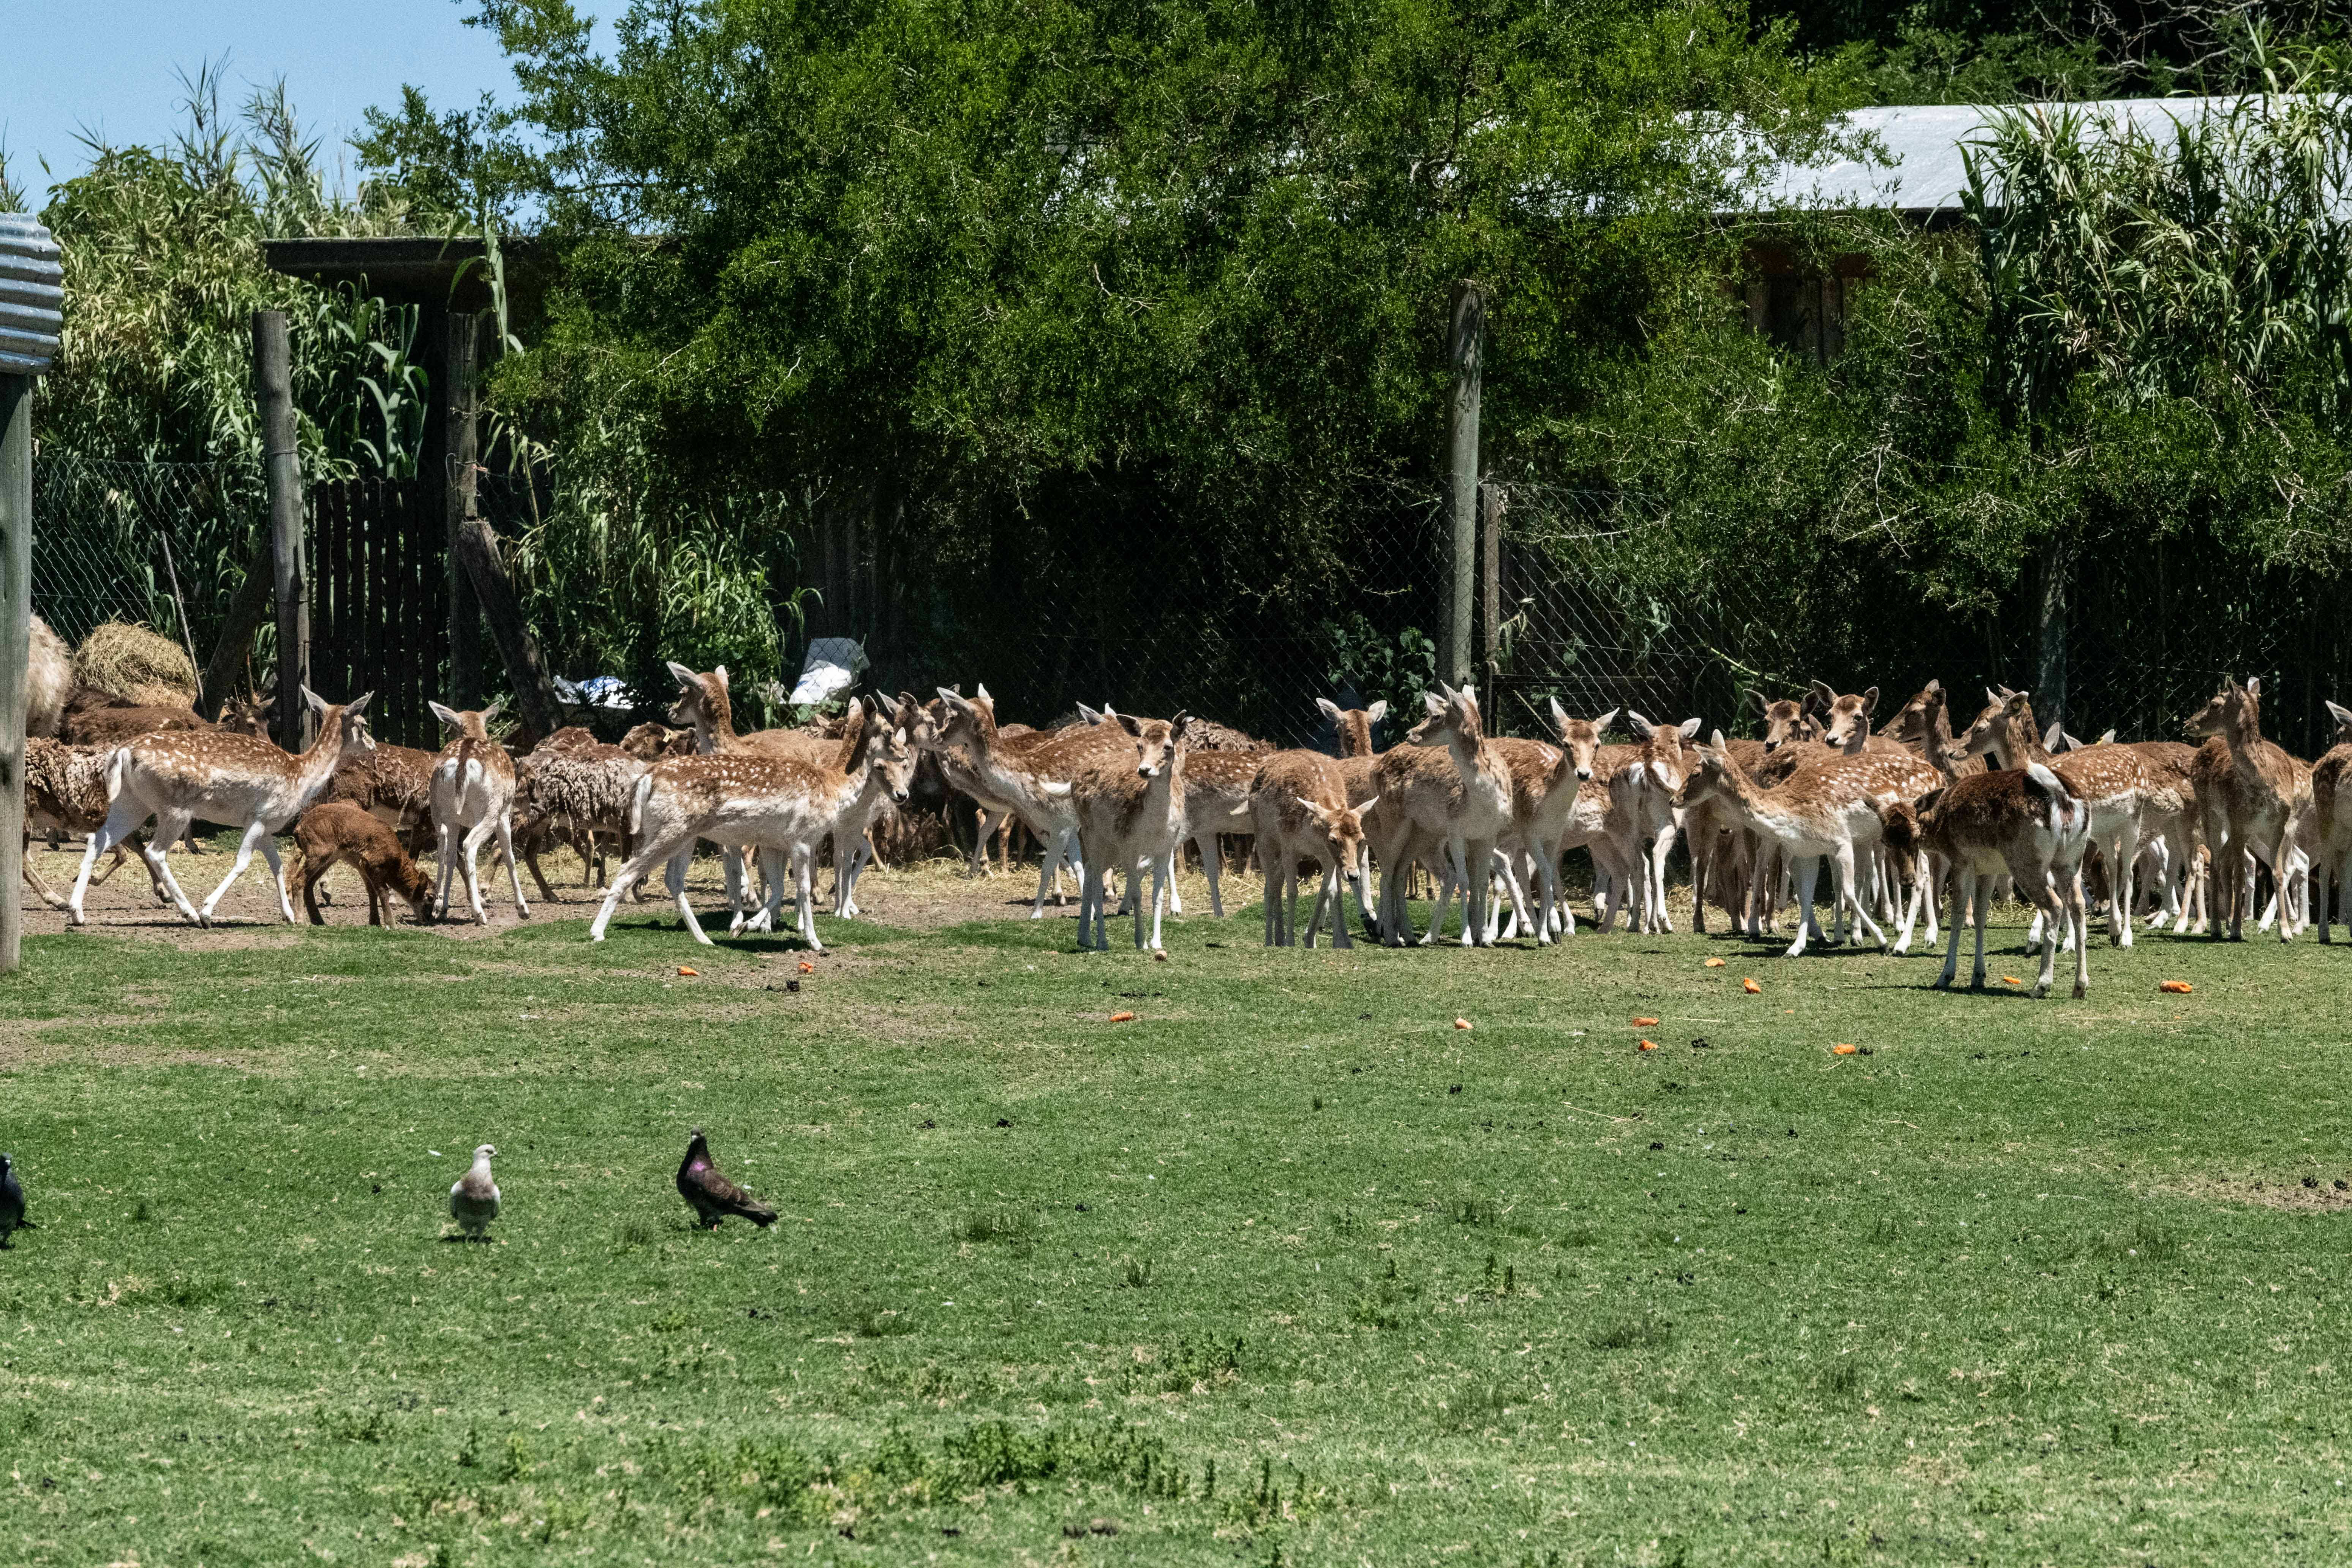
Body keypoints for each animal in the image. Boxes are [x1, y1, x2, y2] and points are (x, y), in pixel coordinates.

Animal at [67, 687, 375, 928]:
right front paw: (207, 911)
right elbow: (242, 863)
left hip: (132, 802)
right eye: (362, 724)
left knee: (99, 839)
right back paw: (190, 914)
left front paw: (289, 916)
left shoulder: (266, 824)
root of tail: (122, 753)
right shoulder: (259, 817)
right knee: (155, 852)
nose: (372, 745)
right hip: (174, 808)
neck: (301, 777)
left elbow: (276, 865)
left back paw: (76, 912)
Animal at [283, 801, 437, 925]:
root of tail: (299, 828)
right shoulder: (372, 865)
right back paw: (301, 921)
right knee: (298, 880)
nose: (428, 919)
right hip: (318, 854)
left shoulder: (362, 867)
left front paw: (375, 922)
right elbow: (383, 892)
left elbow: (372, 892)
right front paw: (390, 925)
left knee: (309, 884)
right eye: (430, 898)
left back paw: (318, 921)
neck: (395, 864)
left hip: (329, 859)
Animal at [428, 700, 531, 926]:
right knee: (469, 845)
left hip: (439, 811)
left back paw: (437, 907)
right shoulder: (505, 813)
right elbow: (510, 857)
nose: (445, 733)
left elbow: (451, 858)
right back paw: (479, 913)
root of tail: (463, 761)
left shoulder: (457, 821)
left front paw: (444, 906)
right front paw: (523, 909)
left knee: (443, 849)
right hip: (490, 810)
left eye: (450, 727)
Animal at [1249, 750, 1375, 948]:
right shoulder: (1289, 847)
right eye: (1333, 840)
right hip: (1263, 837)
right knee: (1270, 885)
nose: (1353, 874)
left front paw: (1322, 941)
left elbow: (1330, 892)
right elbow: (1292, 892)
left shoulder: (1327, 856)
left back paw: (1279, 937)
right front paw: (1291, 941)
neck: (1311, 837)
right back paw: (1271, 940)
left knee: (1276, 880)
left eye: (1361, 839)